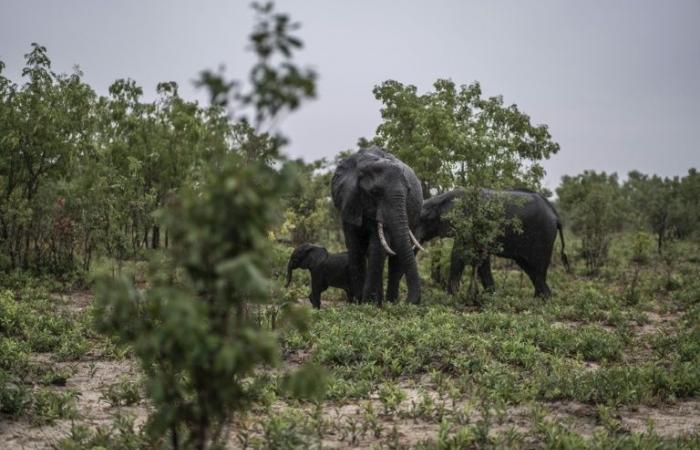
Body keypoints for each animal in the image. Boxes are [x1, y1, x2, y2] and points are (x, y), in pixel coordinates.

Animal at [330, 148, 424, 306]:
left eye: (408, 191)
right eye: (375, 193)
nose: (407, 302)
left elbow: (378, 247)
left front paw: (368, 303)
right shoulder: (349, 201)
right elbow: (355, 247)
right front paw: (359, 303)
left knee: (396, 260)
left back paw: (390, 303)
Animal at [416, 188, 568, 298]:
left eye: (424, 218)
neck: (441, 199)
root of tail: (556, 215)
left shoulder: (468, 223)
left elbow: (459, 255)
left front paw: (449, 297)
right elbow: (480, 258)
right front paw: (490, 296)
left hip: (544, 235)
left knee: (538, 266)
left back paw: (542, 299)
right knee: (529, 267)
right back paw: (541, 298)